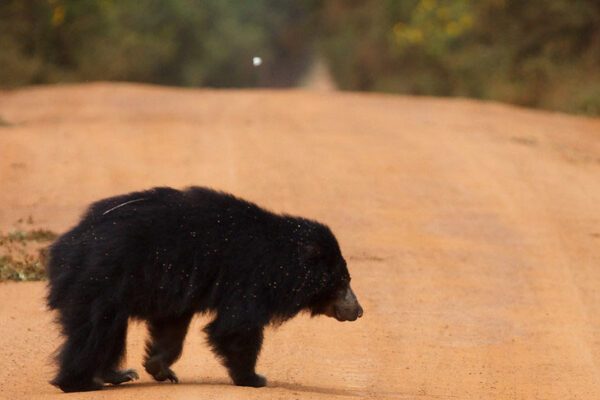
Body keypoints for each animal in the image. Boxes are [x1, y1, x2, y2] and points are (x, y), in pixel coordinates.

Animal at [47, 186, 364, 392]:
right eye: (342, 282)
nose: (358, 311)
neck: (282, 257)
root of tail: (65, 246)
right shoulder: (249, 276)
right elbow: (236, 327)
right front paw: (254, 378)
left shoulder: (179, 286)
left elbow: (172, 327)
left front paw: (159, 367)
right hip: (101, 279)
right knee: (94, 330)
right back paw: (80, 383)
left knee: (107, 331)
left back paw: (116, 374)